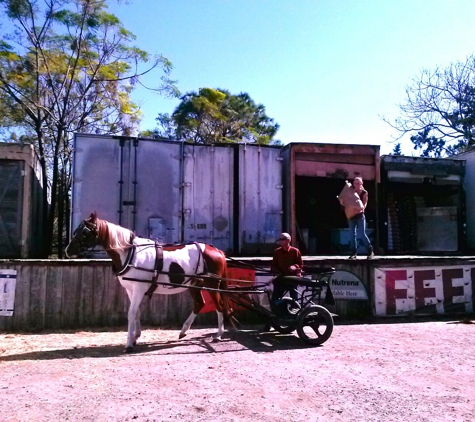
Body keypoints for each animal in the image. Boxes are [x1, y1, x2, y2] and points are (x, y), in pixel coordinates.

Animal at [64, 211, 232, 352]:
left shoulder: (139, 289)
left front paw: (129, 344)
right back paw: (183, 331)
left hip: (212, 285)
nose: (68, 250)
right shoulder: (131, 289)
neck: (131, 253)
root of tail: (216, 250)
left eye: (85, 232)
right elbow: (136, 312)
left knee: (219, 306)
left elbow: (131, 313)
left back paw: (218, 335)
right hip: (194, 285)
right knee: (199, 304)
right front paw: (135, 337)